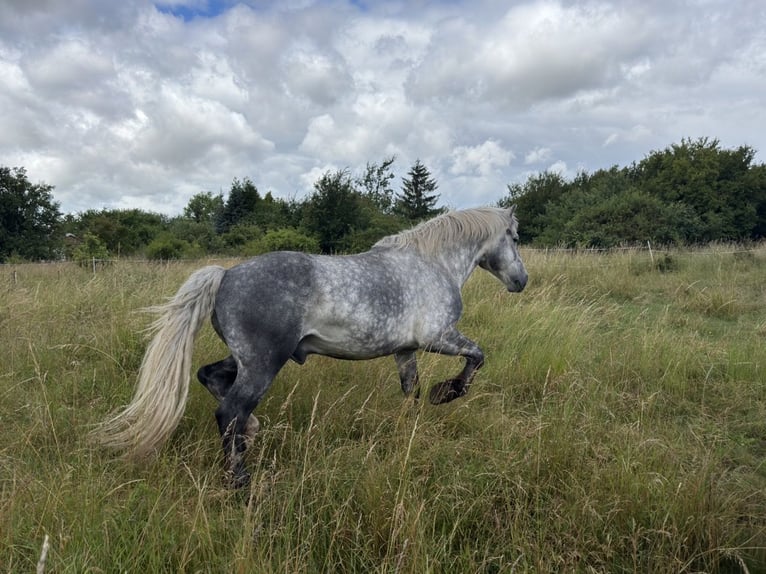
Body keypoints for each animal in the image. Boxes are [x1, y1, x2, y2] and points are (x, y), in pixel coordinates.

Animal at [94, 205, 528, 488]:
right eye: (515, 237)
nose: (520, 281)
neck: (432, 264)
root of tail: (226, 274)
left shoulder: (405, 351)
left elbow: (411, 393)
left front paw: (412, 431)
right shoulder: (439, 337)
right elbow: (476, 358)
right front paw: (447, 393)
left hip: (247, 359)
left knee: (210, 378)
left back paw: (252, 434)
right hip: (264, 363)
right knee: (229, 411)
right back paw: (241, 483)